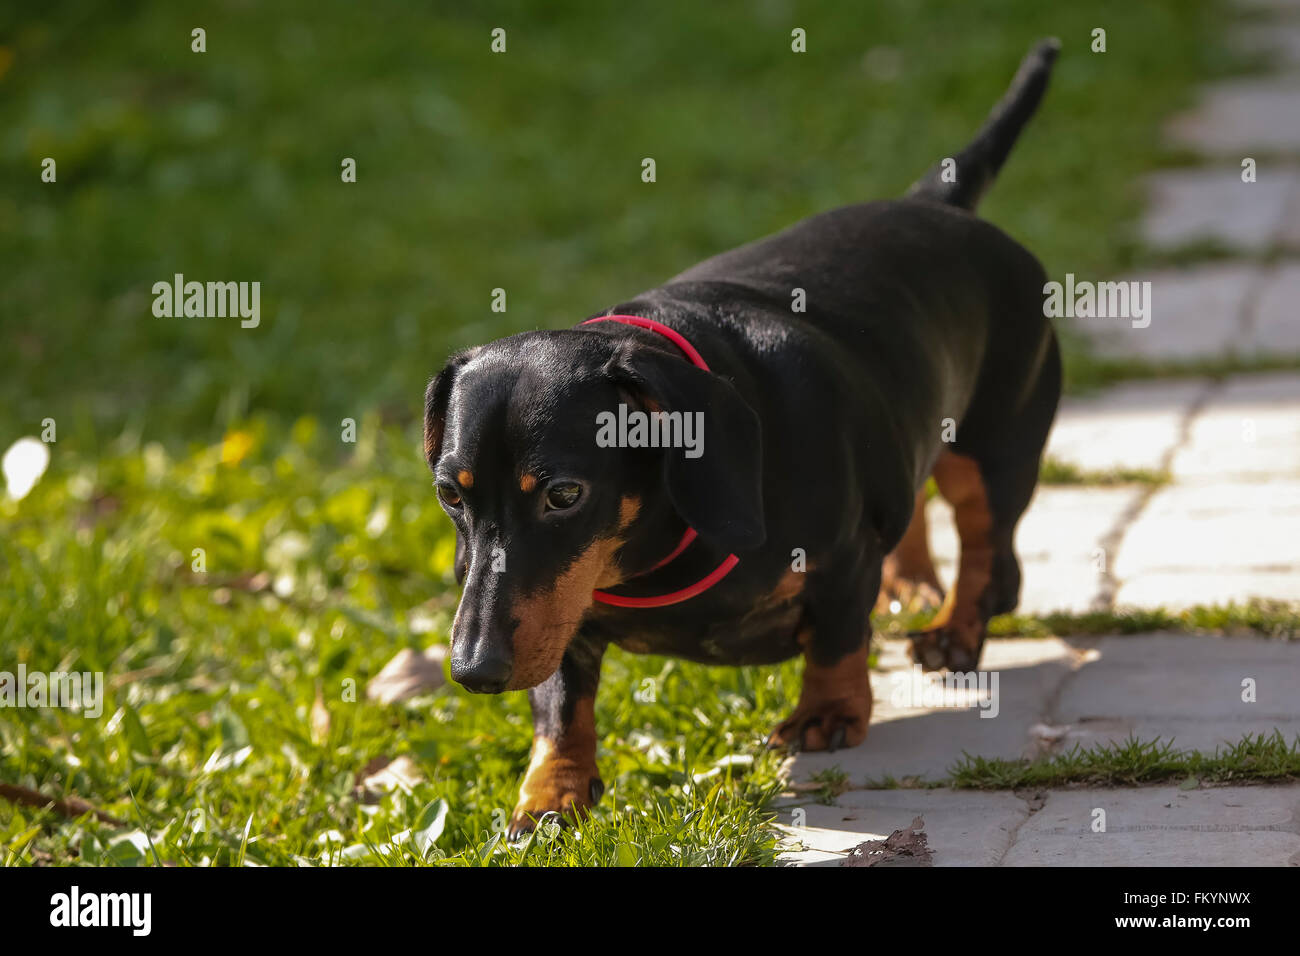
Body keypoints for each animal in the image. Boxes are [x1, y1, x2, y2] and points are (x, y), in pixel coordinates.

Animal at [423, 42, 1055, 837]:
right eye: (451, 495)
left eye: (565, 494)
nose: (474, 671)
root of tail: (931, 203)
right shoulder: (558, 614)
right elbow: (561, 703)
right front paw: (550, 791)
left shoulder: (840, 558)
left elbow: (838, 634)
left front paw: (828, 712)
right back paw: (910, 585)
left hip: (995, 446)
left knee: (988, 551)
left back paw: (954, 629)